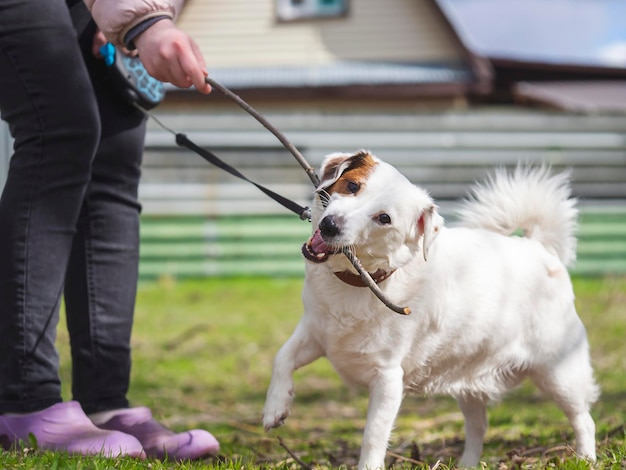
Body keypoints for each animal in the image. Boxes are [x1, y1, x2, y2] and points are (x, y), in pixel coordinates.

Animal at [260, 152, 596, 468]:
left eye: (384, 218)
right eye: (352, 186)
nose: (330, 226)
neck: (361, 280)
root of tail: (540, 248)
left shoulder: (387, 379)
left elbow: (373, 435)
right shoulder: (315, 333)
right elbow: (282, 358)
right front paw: (275, 408)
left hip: (560, 373)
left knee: (584, 419)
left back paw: (586, 459)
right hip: (470, 382)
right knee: (478, 426)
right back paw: (467, 464)